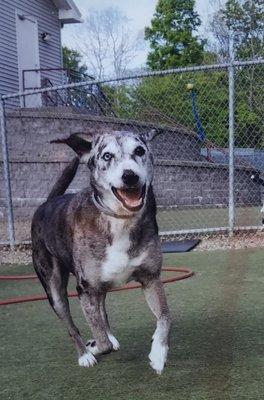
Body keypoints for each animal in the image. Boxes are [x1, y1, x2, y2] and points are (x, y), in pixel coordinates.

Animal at [31, 129, 171, 376]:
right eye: (107, 156)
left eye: (139, 150)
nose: (130, 176)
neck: (120, 219)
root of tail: (47, 203)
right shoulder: (85, 290)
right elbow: (101, 343)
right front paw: (94, 346)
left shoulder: (151, 278)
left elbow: (165, 316)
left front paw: (158, 352)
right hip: (54, 288)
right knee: (71, 325)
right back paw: (85, 354)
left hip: (101, 285)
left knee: (102, 312)